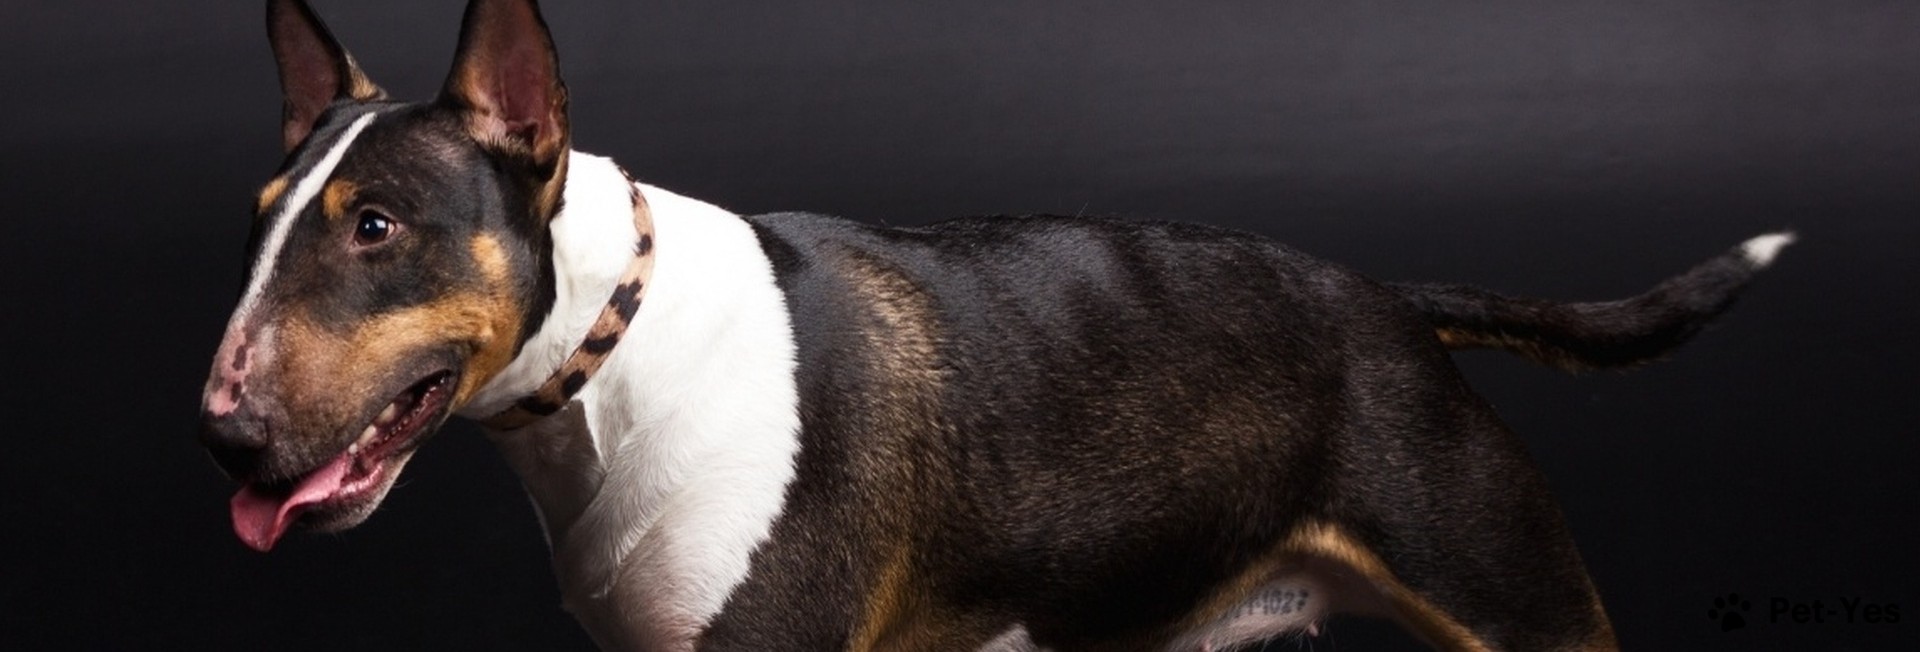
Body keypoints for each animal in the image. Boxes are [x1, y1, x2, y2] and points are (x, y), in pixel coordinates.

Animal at [200, 1, 1792, 649]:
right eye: (261, 219)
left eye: (377, 227)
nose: (221, 433)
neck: (612, 356)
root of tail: (1393, 304)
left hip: (1516, 597)